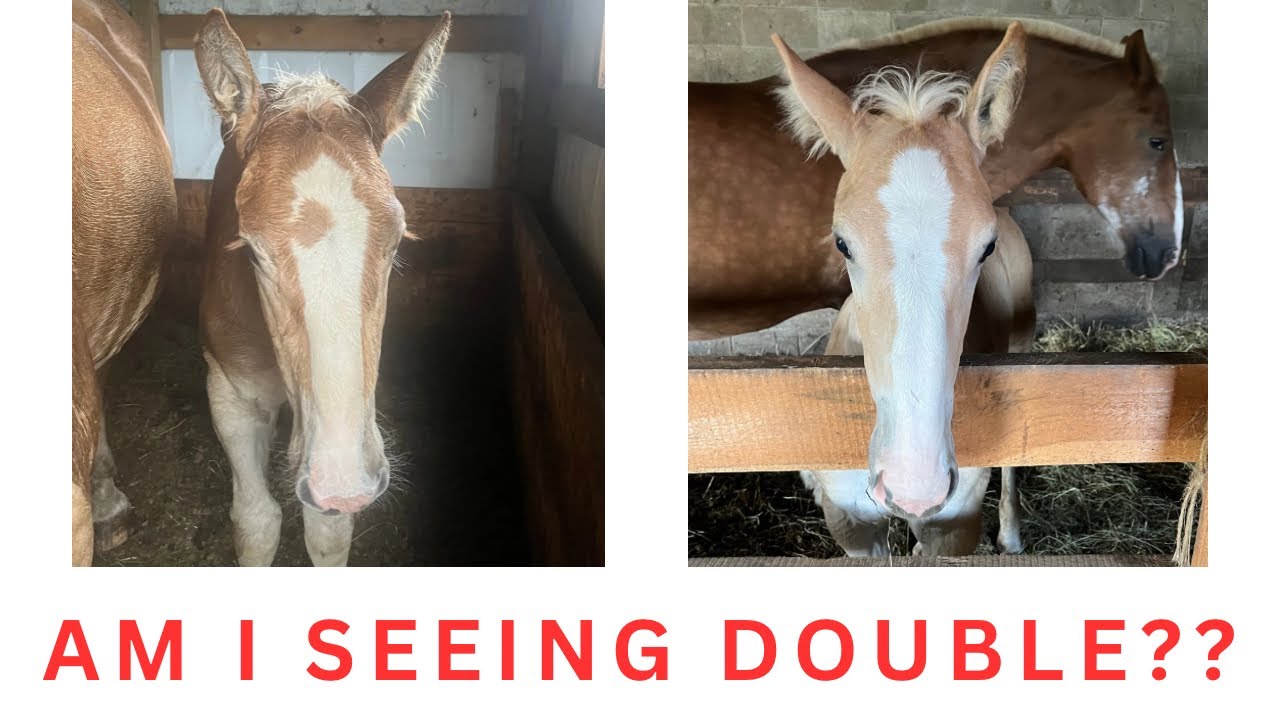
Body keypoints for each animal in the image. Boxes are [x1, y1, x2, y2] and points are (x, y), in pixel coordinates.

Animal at [192, 9, 452, 566]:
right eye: (251, 252)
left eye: (396, 244)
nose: (342, 482)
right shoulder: (230, 394)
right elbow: (256, 522)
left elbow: (328, 532)